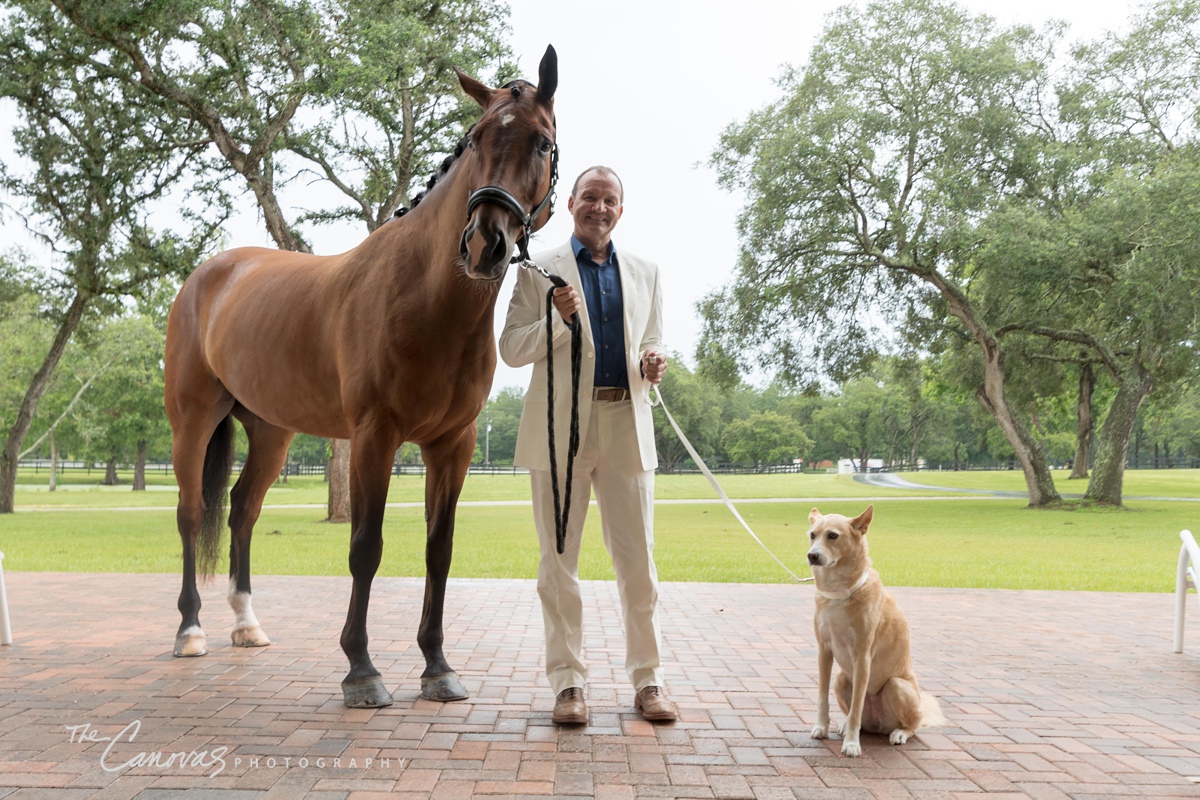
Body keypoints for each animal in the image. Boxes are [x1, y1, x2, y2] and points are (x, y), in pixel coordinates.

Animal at [162, 47, 559, 705]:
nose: (484, 245)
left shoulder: (453, 445)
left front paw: (437, 667)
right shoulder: (375, 436)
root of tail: (208, 275)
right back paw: (191, 630)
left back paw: (246, 624)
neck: (425, 298)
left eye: (542, 143)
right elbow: (365, 548)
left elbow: (439, 549)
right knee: (192, 513)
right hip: (192, 422)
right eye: (475, 140)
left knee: (243, 510)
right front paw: (361, 669)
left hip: (271, 432)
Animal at [811, 506, 940, 758]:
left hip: (896, 685)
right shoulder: (823, 651)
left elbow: (857, 705)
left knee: (912, 725)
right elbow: (822, 696)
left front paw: (852, 744)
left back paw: (899, 733)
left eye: (832, 535)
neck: (839, 593)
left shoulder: (862, 658)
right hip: (842, 678)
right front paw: (821, 727)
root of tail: (879, 726)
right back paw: (846, 725)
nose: (812, 555)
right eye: (812, 535)